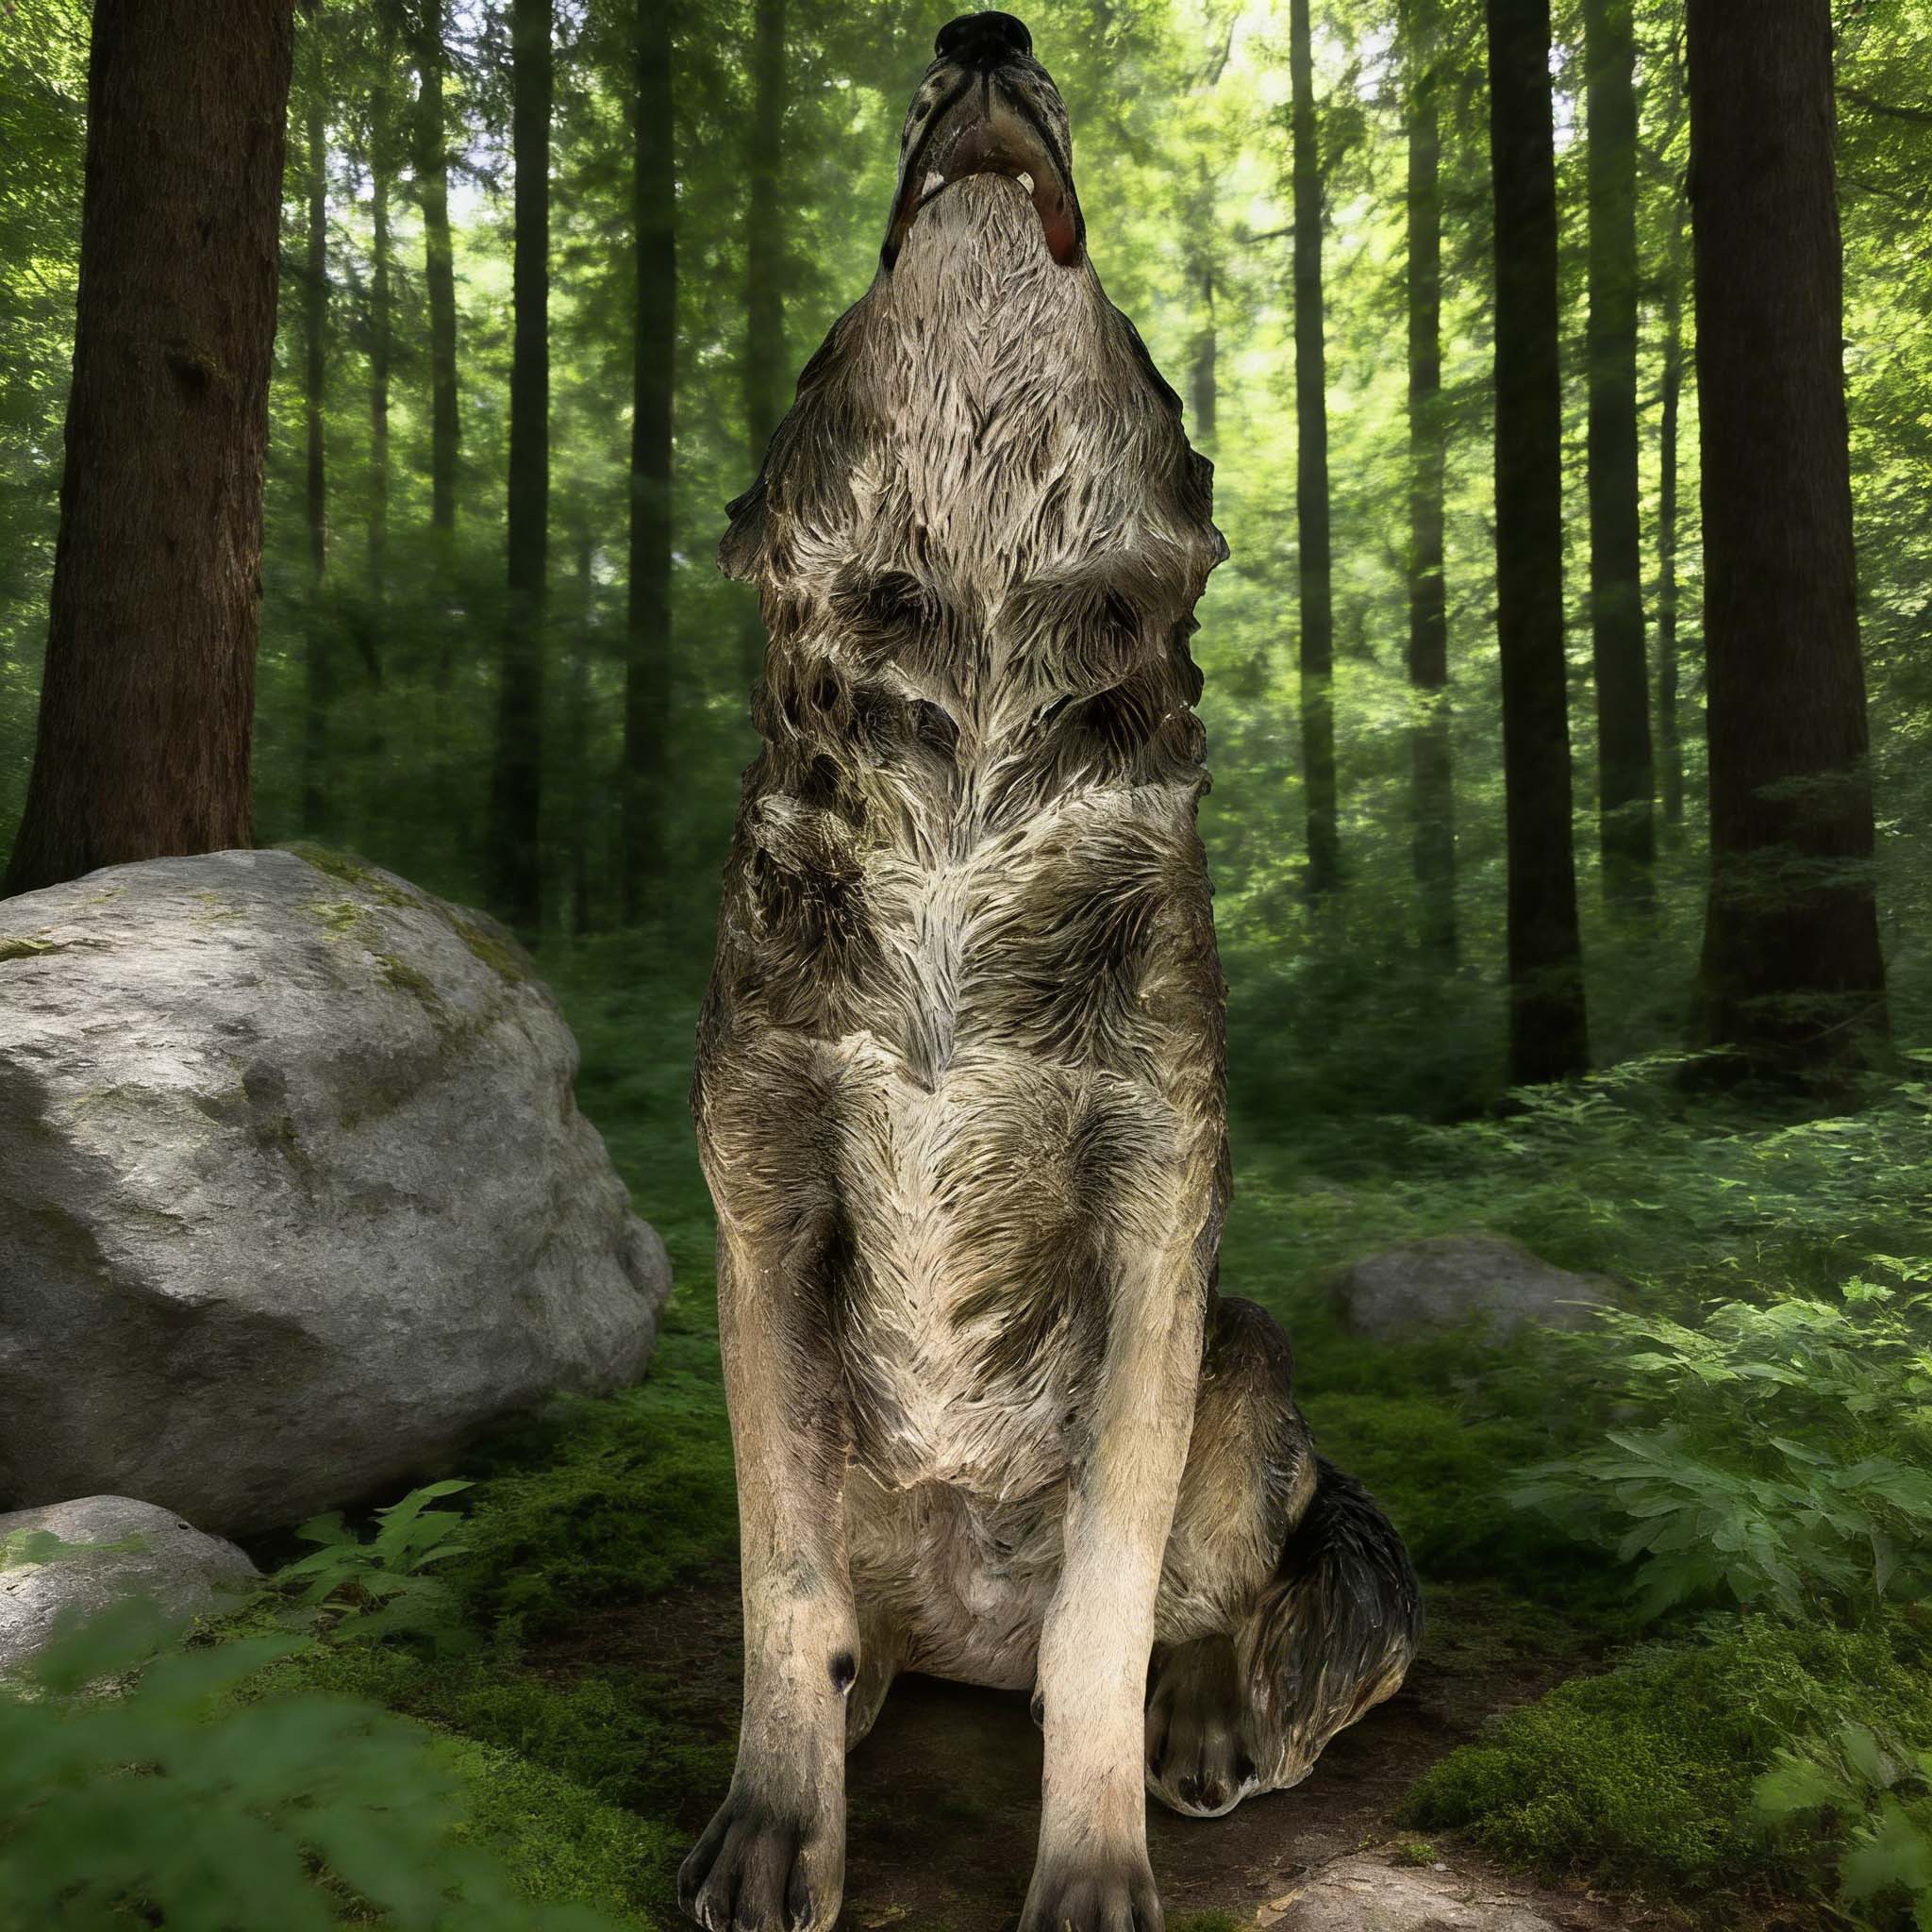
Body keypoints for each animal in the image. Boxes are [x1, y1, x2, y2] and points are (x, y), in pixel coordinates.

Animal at [685, 14, 1422, 1930]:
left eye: (1140, 348)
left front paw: (1091, 1867)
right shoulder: (762, 1219)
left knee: (1218, 1609)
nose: (986, 36)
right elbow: (779, 1591)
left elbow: (1105, 1609)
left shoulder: (1157, 1225)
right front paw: (774, 1825)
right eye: (833, 325)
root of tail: (964, 1625)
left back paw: (1212, 1715)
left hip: (1242, 1356)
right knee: (859, 1619)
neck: (969, 746)